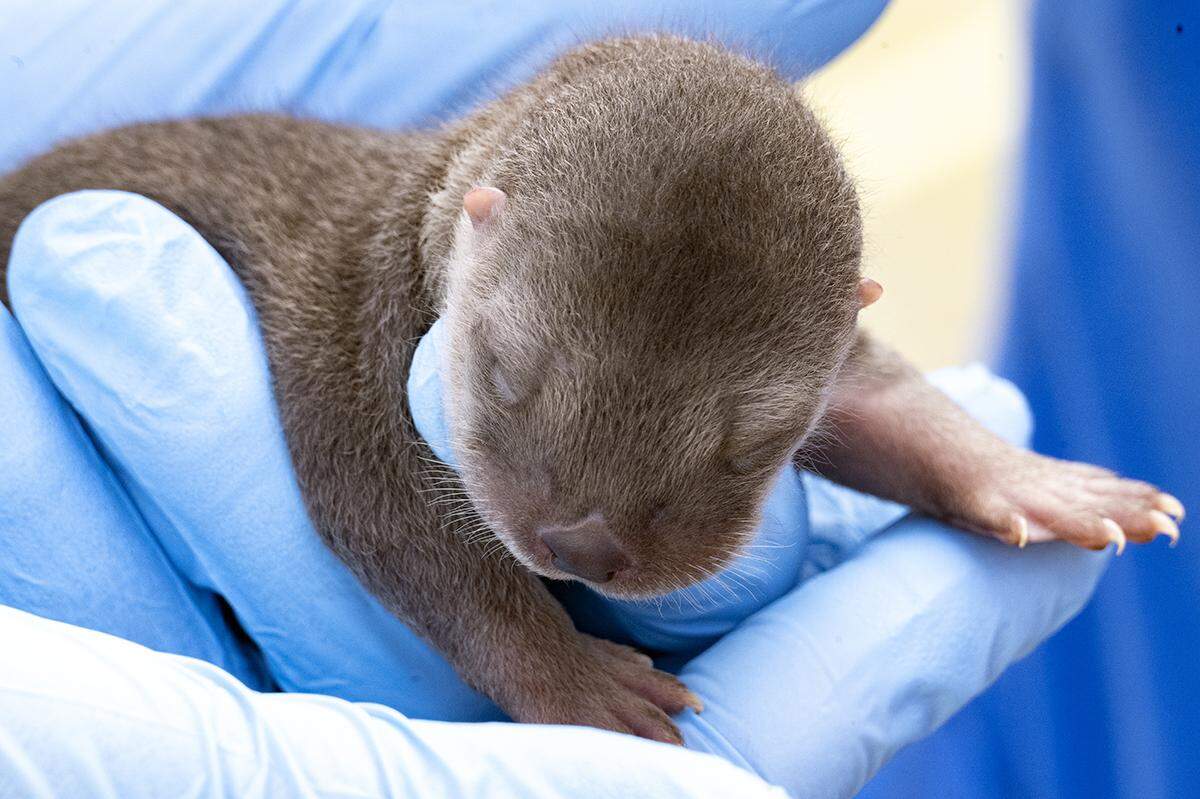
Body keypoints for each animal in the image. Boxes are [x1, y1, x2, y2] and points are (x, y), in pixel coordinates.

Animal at [0, 35, 1183, 744]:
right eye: (509, 370)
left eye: (750, 441)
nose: (585, 545)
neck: (413, 227)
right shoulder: (344, 350)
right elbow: (413, 544)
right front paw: (575, 681)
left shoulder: (834, 366)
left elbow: (901, 414)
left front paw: (1038, 481)